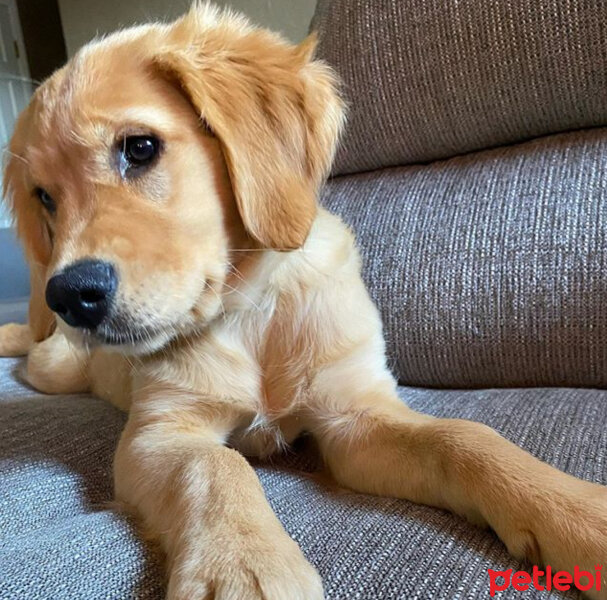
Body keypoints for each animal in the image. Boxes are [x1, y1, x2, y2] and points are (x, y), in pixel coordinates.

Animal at [0, 4, 604, 600]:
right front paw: (244, 564)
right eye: (44, 198)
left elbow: (464, 437)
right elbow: (215, 464)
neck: (249, 311)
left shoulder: (355, 416)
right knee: (34, 346)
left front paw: (575, 509)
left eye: (140, 147)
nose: (68, 297)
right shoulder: (159, 431)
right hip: (55, 365)